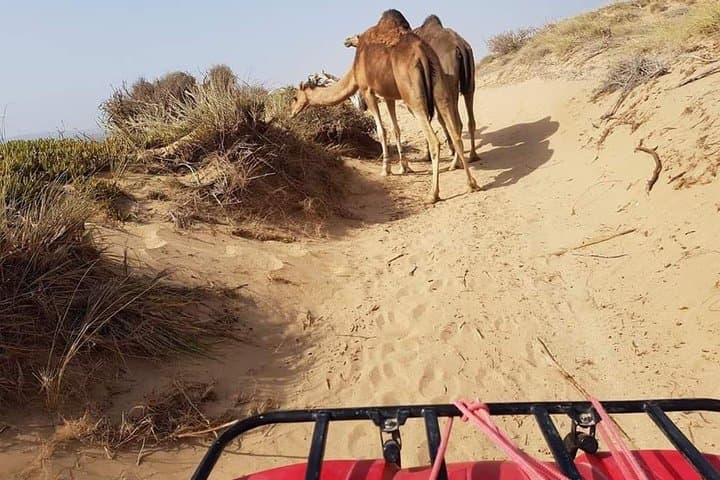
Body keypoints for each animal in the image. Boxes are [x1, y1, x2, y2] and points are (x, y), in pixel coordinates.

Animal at [344, 14, 479, 163]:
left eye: (357, 36)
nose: (347, 40)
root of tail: (459, 46)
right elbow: (438, 119)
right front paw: (448, 150)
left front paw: (429, 155)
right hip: (469, 77)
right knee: (468, 108)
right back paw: (472, 156)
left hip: (447, 81)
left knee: (455, 122)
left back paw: (456, 162)